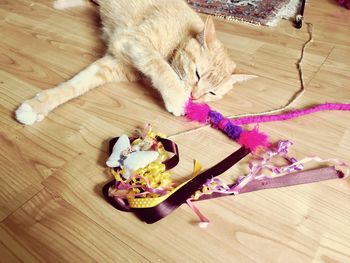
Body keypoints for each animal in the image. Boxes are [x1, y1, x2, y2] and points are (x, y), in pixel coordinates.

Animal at [15, 0, 254, 125]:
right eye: (197, 74)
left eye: (212, 93)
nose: (195, 97)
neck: (178, 39)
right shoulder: (135, 41)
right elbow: (161, 67)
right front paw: (177, 98)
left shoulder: (113, 64)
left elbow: (74, 86)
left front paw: (36, 107)